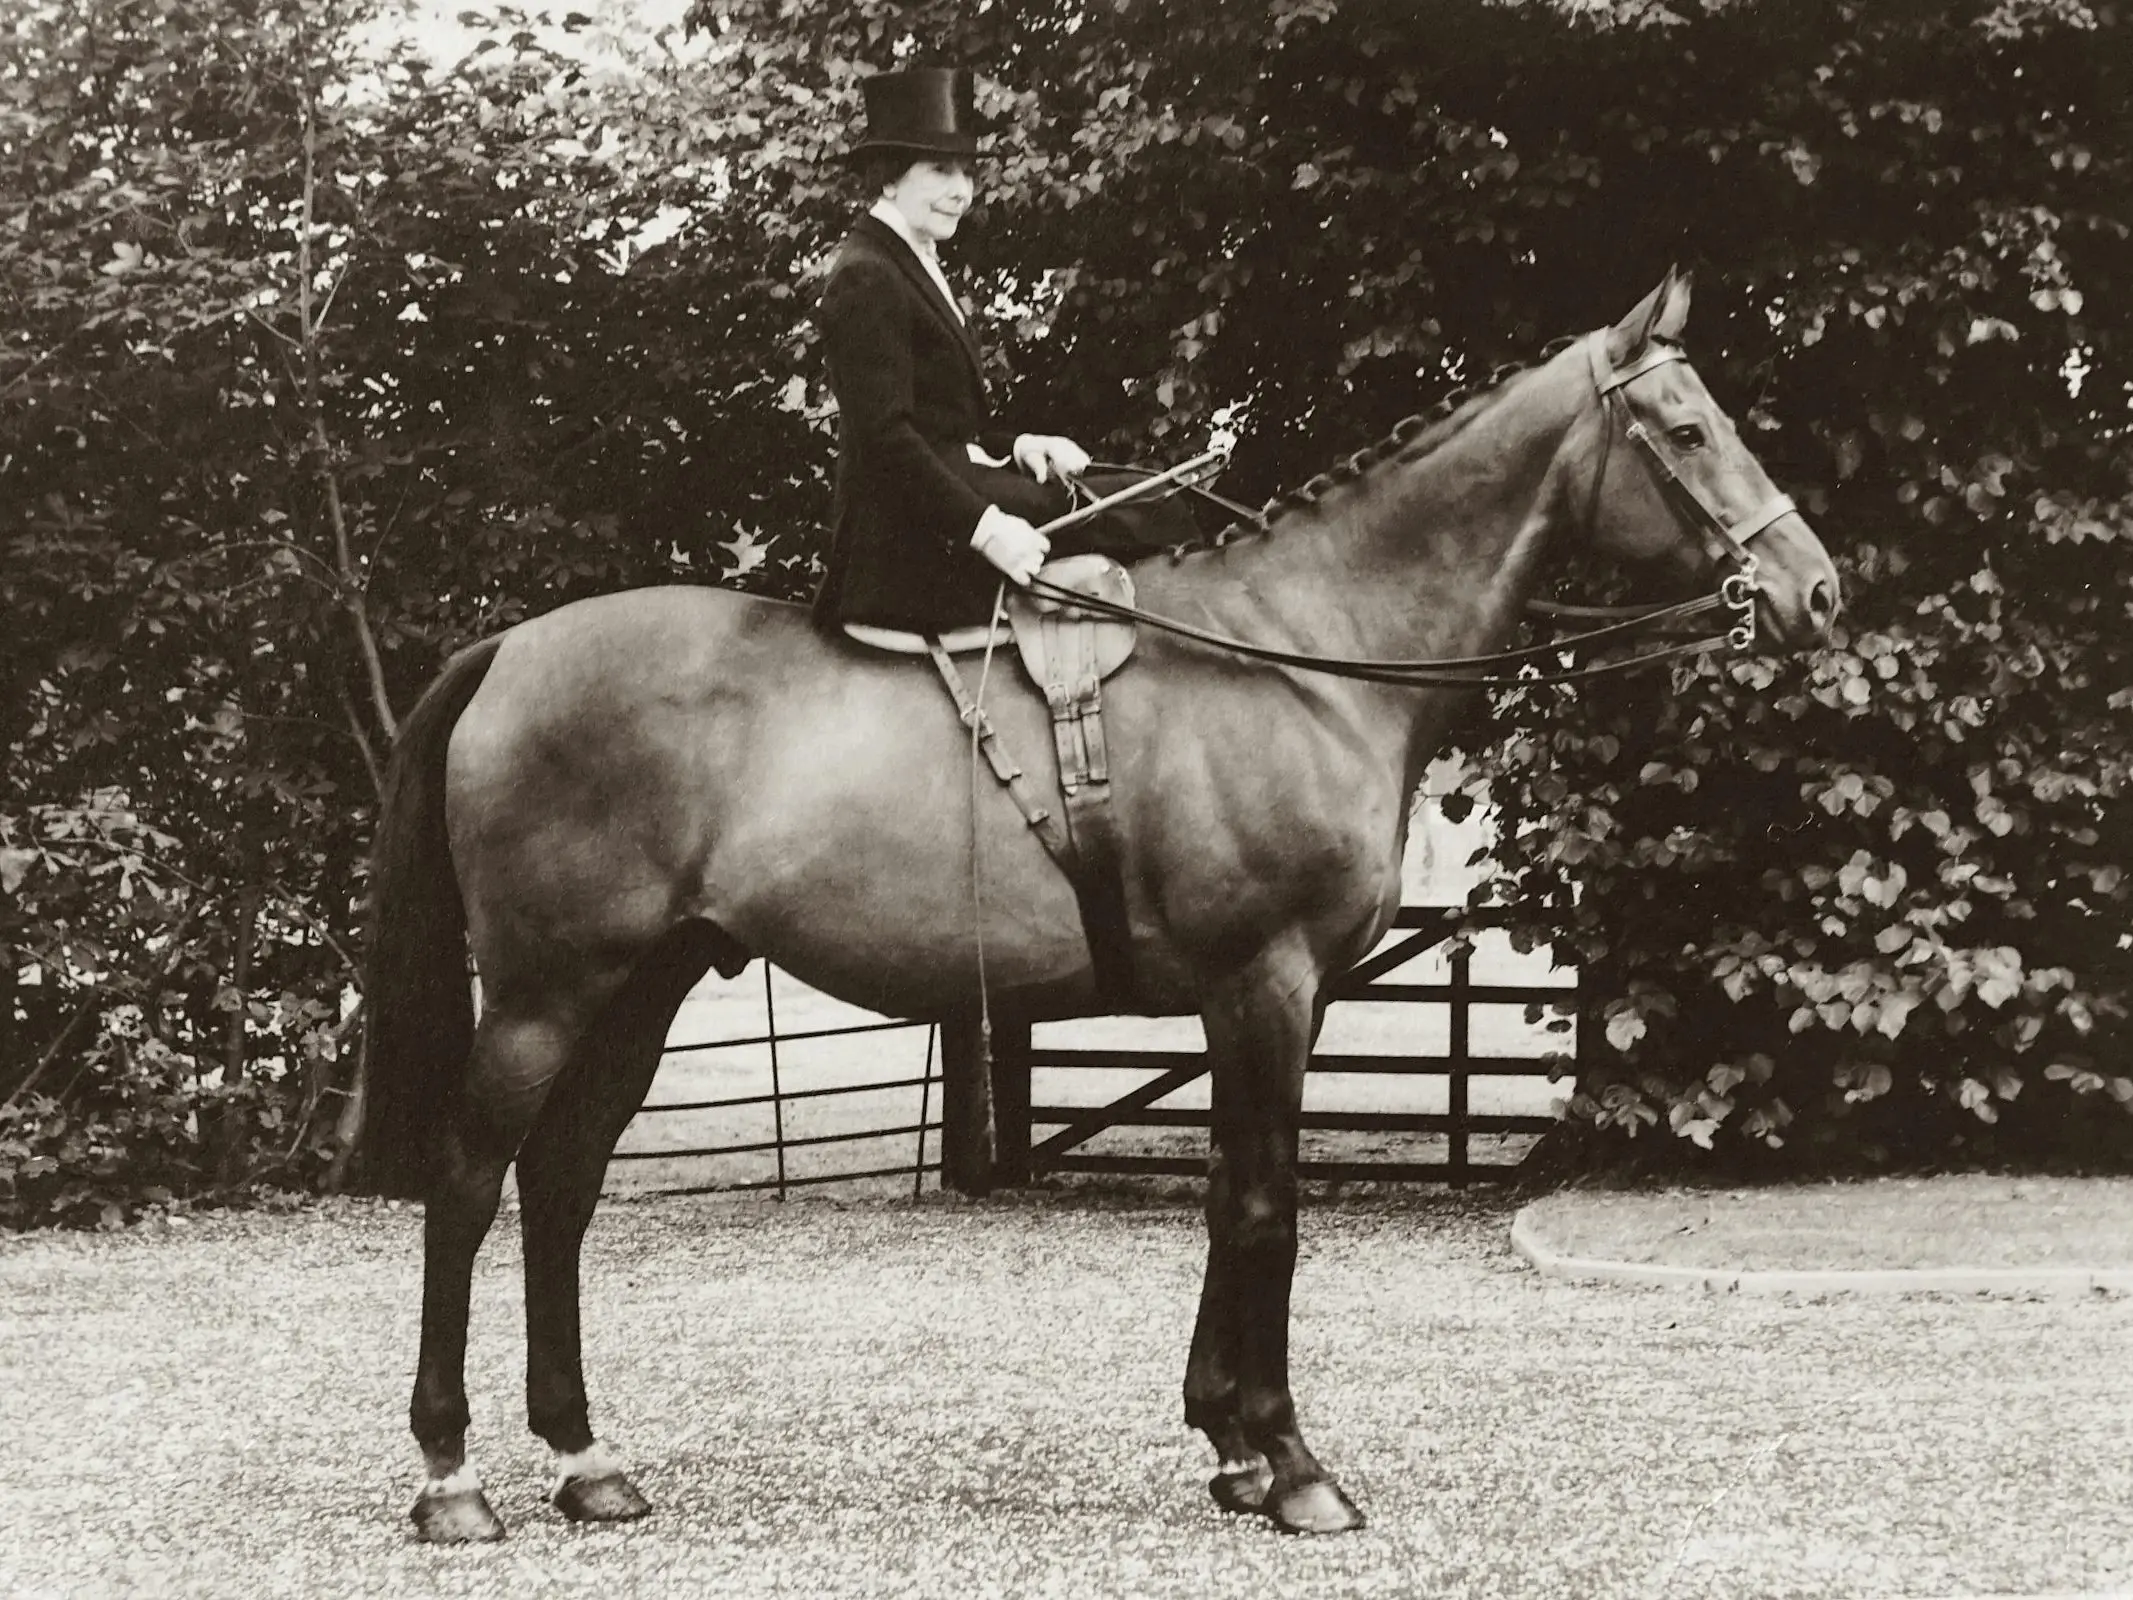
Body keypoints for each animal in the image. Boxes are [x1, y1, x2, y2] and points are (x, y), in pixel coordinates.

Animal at [353, 270, 1840, 1541]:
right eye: (1687, 429)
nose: (1814, 591)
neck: (1298, 656)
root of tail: (506, 649)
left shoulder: (1259, 1001)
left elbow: (1230, 1198)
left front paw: (1230, 1444)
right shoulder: (1265, 984)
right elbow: (1265, 1207)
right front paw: (1290, 1462)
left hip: (645, 985)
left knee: (560, 1183)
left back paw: (586, 1458)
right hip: (547, 994)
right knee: (471, 1183)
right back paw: (451, 1476)